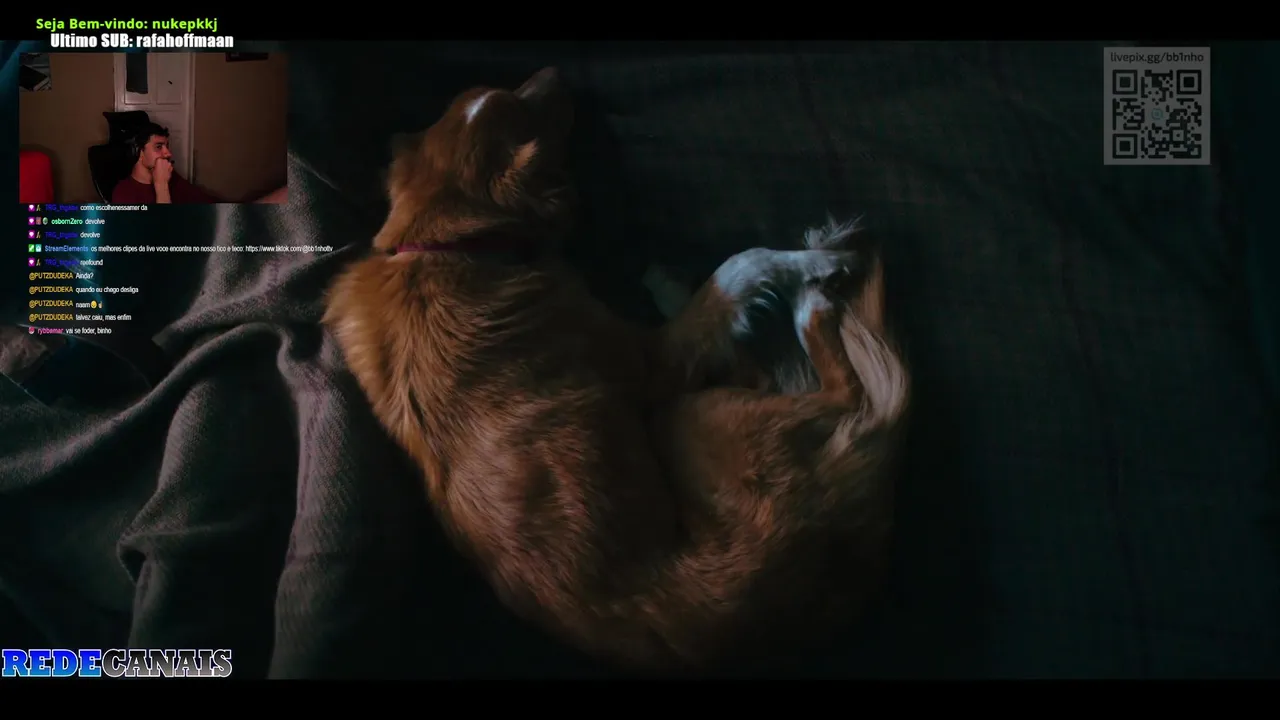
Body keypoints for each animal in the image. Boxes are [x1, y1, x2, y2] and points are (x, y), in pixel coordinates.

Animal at [323, 67, 911, 673]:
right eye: (530, 111)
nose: (559, 72)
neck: (445, 245)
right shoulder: (650, 365)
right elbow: (738, 267)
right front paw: (807, 262)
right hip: (692, 413)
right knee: (839, 391)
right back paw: (813, 295)